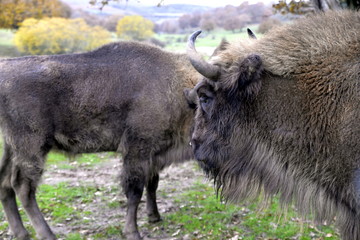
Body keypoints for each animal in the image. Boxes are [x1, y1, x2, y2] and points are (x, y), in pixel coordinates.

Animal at [0, 41, 200, 240]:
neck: (177, 87)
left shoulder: (154, 153)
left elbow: (152, 183)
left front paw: (154, 217)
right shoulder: (137, 149)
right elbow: (135, 191)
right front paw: (132, 232)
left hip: (12, 148)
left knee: (5, 182)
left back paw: (20, 232)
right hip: (32, 146)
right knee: (22, 186)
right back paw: (47, 234)